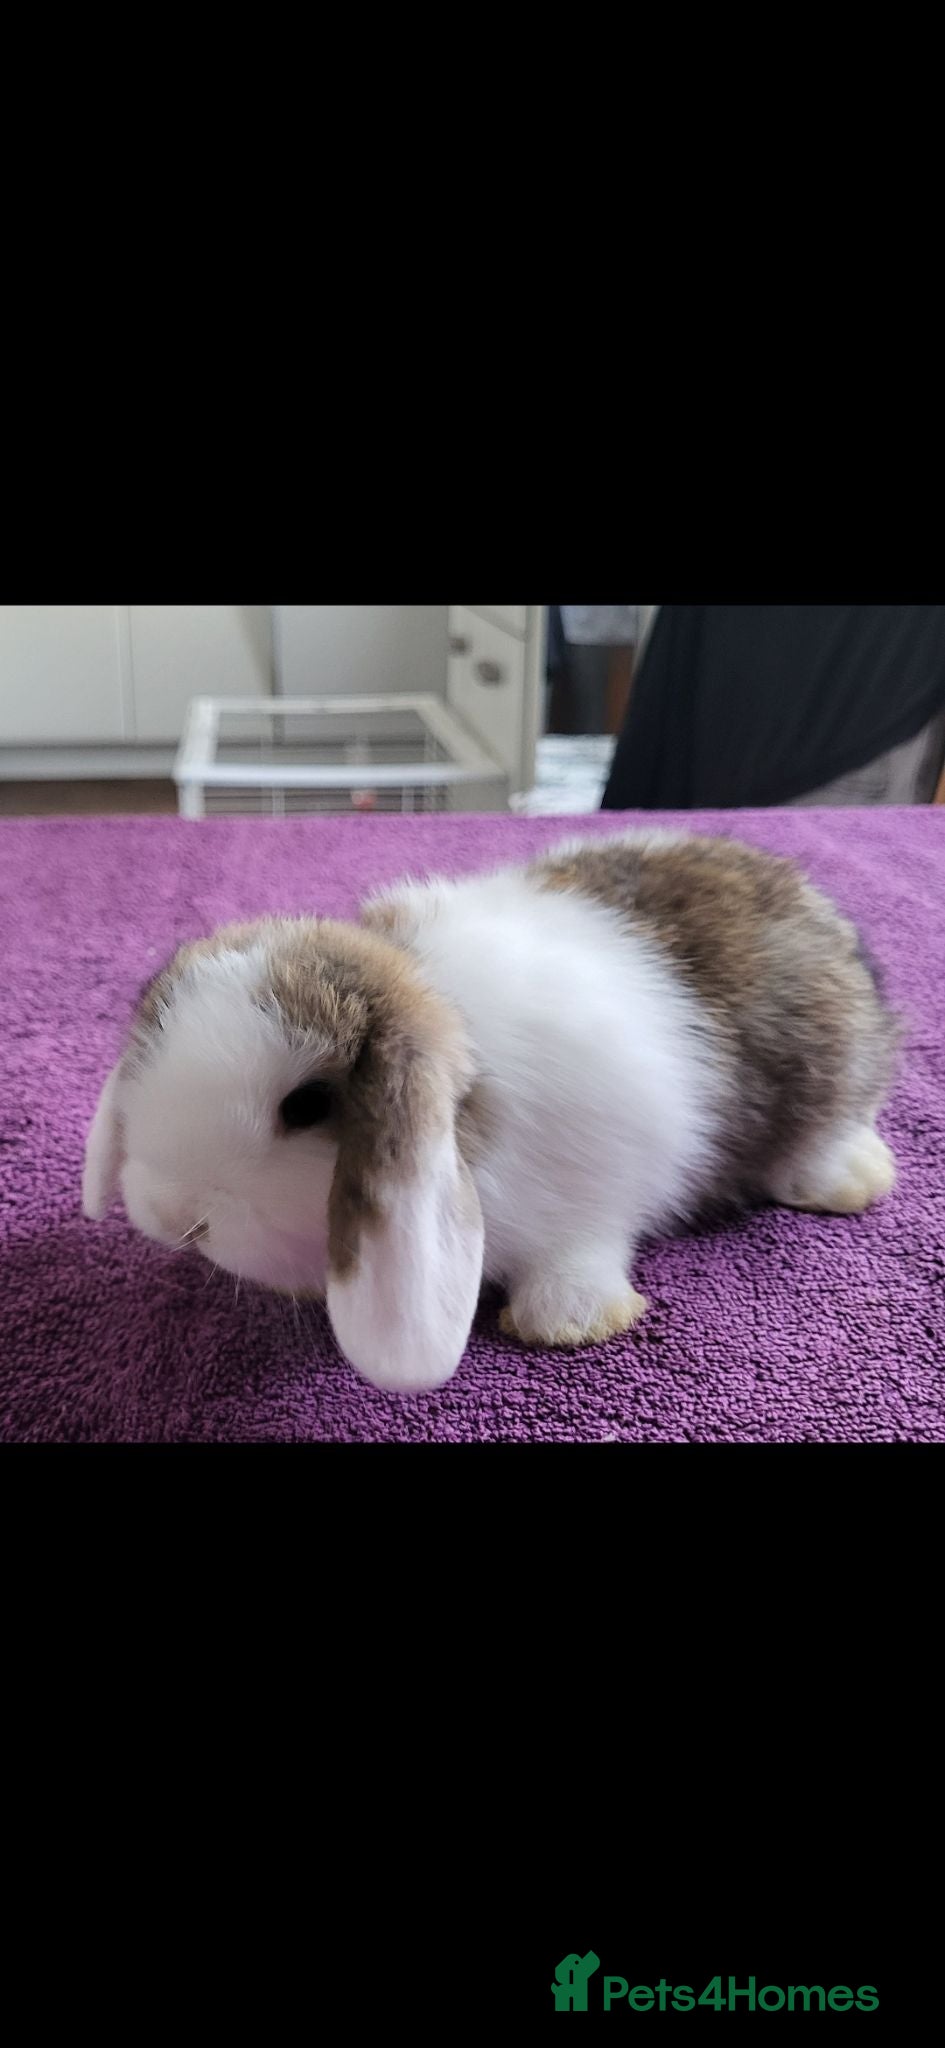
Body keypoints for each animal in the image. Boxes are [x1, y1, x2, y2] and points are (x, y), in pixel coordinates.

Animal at [82, 830, 901, 1393]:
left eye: (308, 1104)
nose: (172, 1215)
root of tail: (810, 898)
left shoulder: (599, 1189)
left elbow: (584, 1251)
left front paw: (566, 1323)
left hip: (833, 1081)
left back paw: (846, 1181)